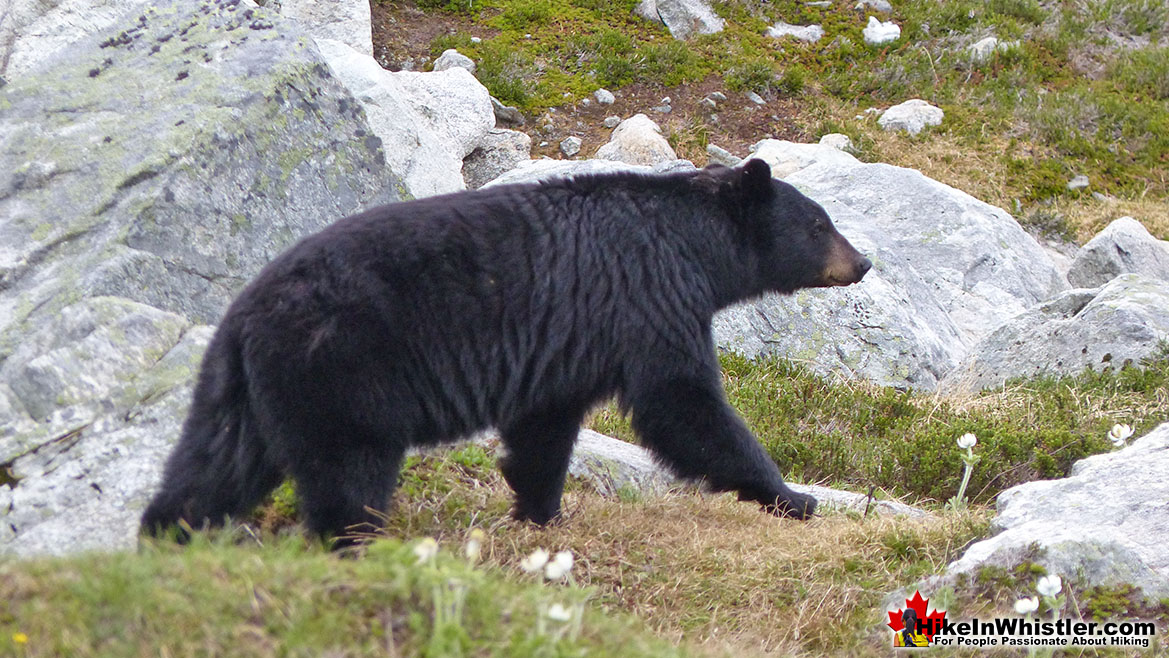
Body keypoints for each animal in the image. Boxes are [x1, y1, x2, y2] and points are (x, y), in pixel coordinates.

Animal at [139, 157, 869, 546]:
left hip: (242, 387)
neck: (692, 244)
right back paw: (353, 546)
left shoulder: (566, 343)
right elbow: (682, 403)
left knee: (212, 464)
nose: (862, 261)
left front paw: (537, 510)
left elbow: (544, 427)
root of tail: (245, 314)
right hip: (341, 370)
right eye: (819, 222)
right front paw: (791, 495)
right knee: (348, 471)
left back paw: (166, 536)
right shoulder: (649, 298)